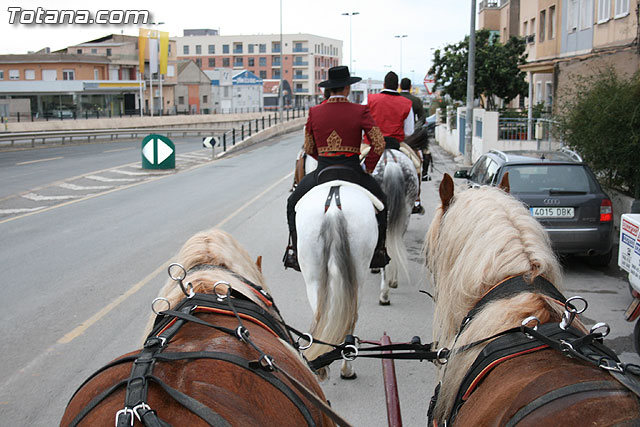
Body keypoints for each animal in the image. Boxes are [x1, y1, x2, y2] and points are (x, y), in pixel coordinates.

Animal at [296, 182, 380, 380]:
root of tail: (334, 208)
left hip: (313, 278)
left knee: (320, 314)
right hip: (358, 279)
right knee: (351, 319)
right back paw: (347, 369)